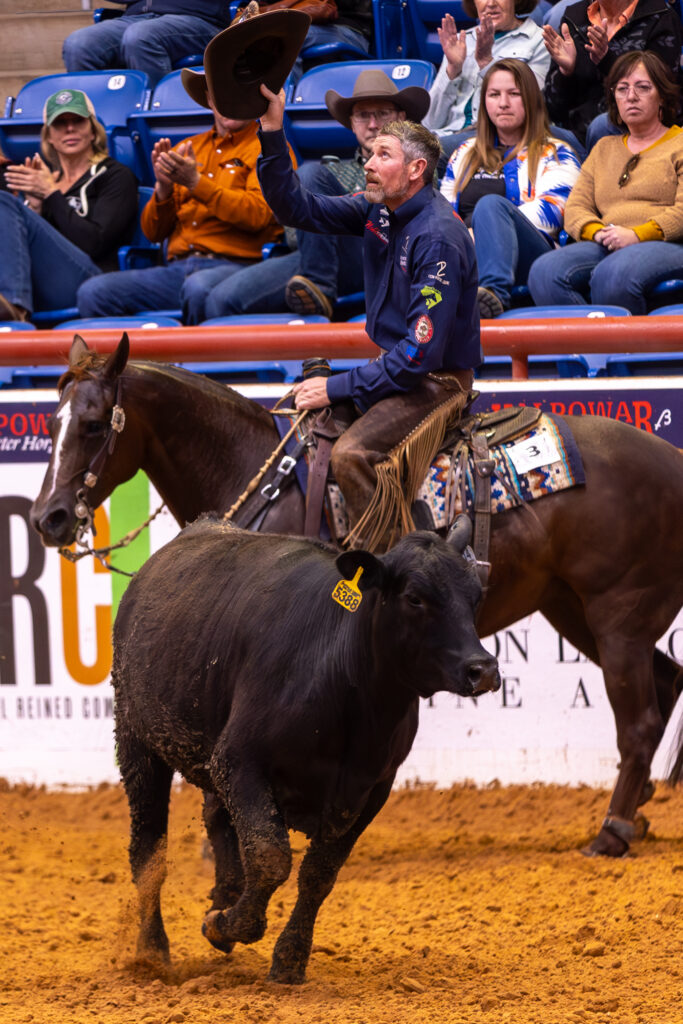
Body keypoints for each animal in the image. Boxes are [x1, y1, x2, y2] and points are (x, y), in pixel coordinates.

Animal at [31, 333, 683, 859]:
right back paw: (639, 812)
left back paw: (612, 831)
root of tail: (671, 458)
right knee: (665, 680)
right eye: (52, 422)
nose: (48, 518)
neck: (262, 480)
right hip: (574, 609)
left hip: (617, 616)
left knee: (640, 721)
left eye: (94, 424)